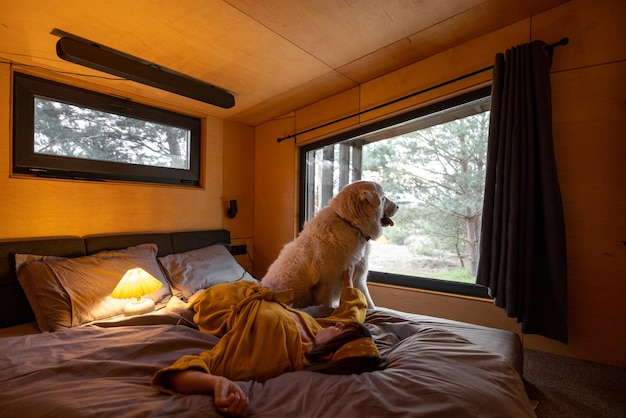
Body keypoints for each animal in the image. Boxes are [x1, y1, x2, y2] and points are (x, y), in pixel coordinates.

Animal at [260, 180, 398, 310]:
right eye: (383, 198)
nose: (397, 206)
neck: (350, 223)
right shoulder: (328, 286)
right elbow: (327, 305)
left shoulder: (359, 278)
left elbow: (369, 303)